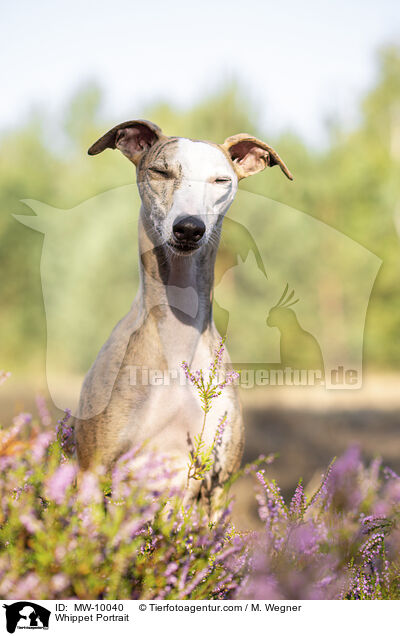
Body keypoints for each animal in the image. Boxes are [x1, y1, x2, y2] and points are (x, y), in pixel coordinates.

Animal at [75, 118, 292, 506]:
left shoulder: (219, 481)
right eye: (160, 171)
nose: (189, 228)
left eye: (221, 180)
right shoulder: (94, 469)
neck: (178, 337)